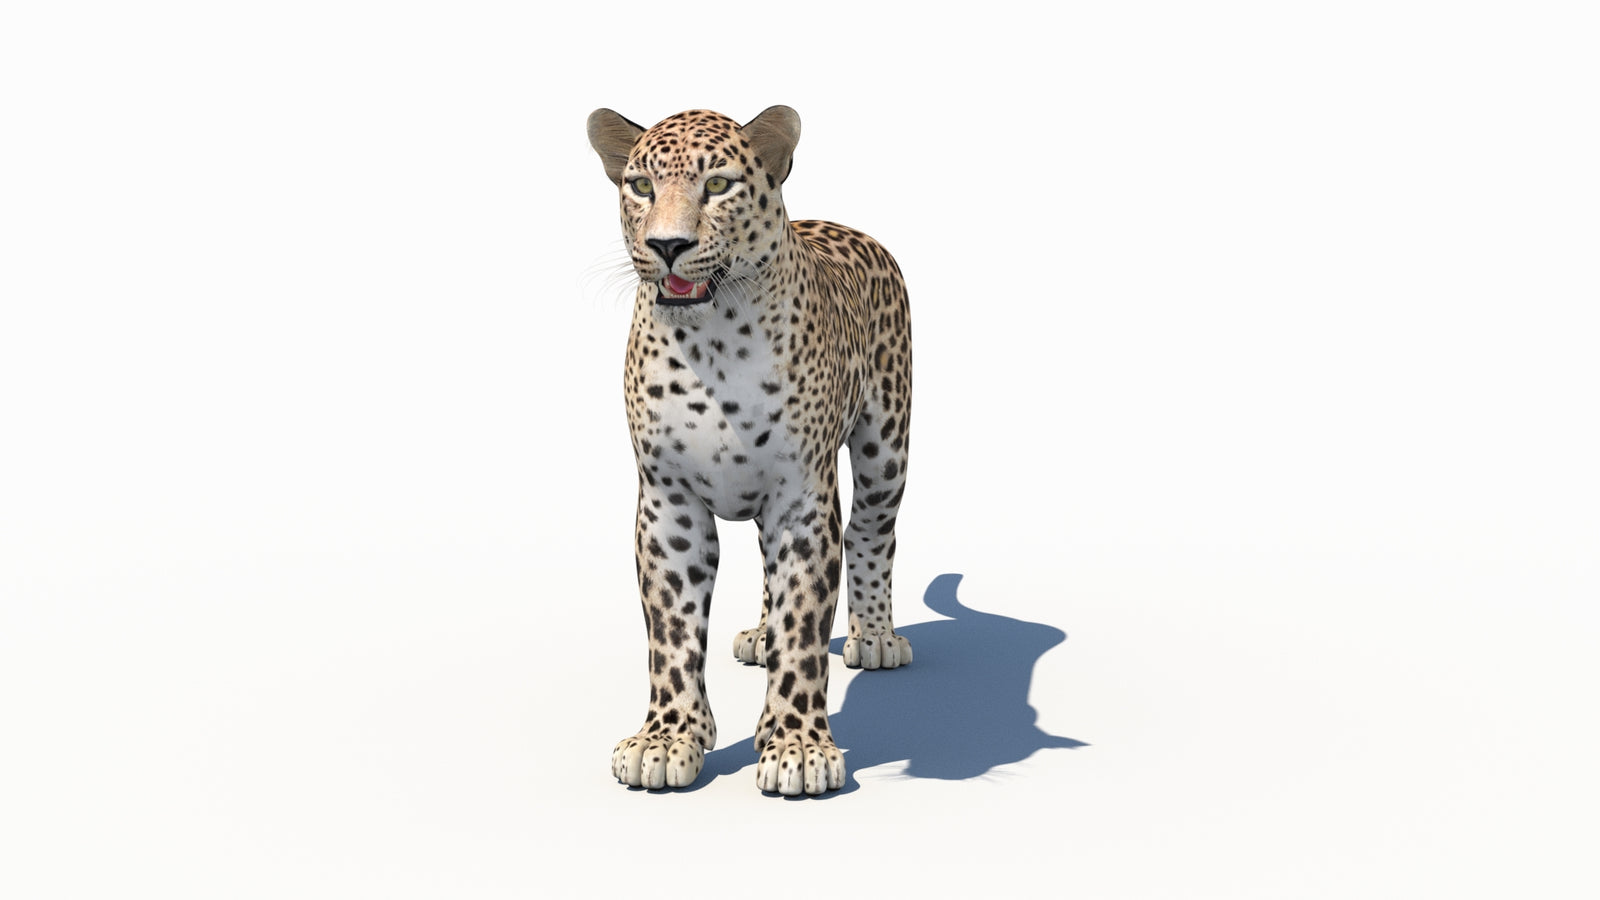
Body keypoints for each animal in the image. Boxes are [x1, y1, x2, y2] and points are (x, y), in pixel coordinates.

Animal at [587, 106, 912, 796]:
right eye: (641, 187)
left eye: (717, 185)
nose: (668, 245)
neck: (712, 342)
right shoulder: (669, 503)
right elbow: (672, 630)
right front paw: (667, 738)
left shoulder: (802, 500)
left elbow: (804, 625)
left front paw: (799, 747)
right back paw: (761, 635)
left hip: (886, 450)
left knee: (871, 534)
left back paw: (875, 637)